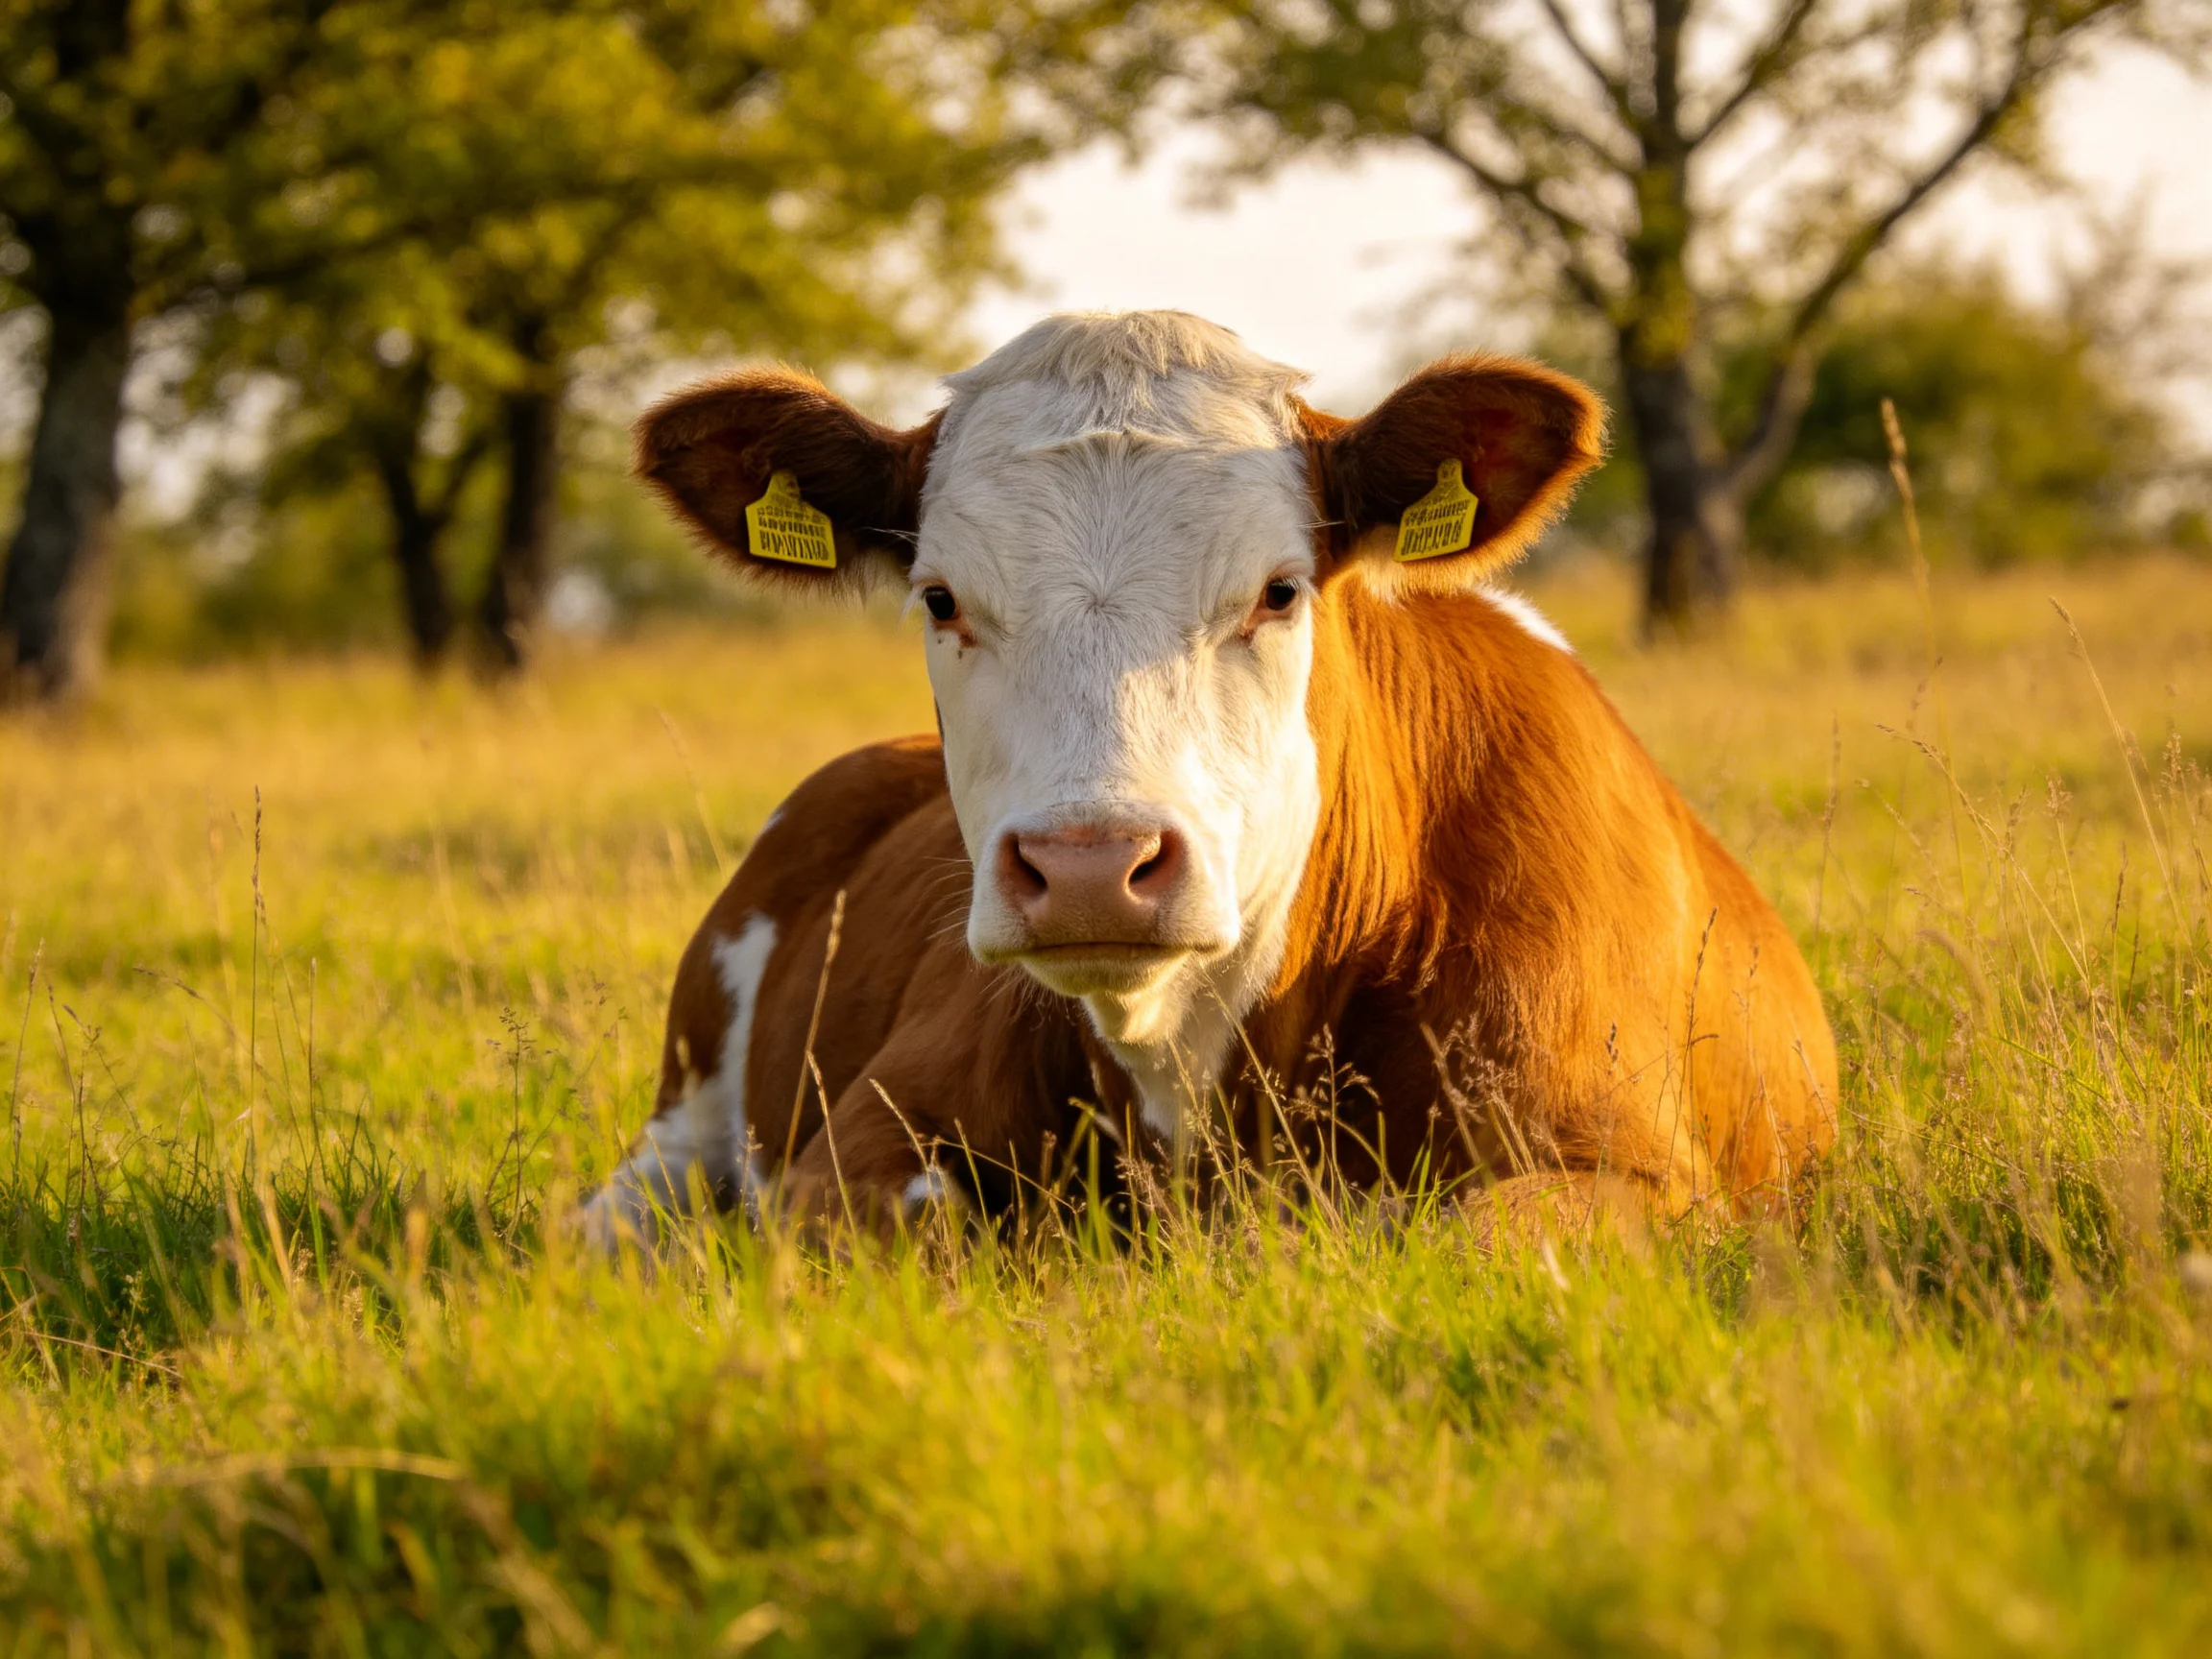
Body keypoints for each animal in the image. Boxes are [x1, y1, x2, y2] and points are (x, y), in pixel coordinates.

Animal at [579, 311, 1837, 1246]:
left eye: (1279, 591)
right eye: (939, 598)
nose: (1090, 866)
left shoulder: (1631, 1164)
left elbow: (1479, 1233)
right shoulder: (847, 1161)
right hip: (684, 1103)